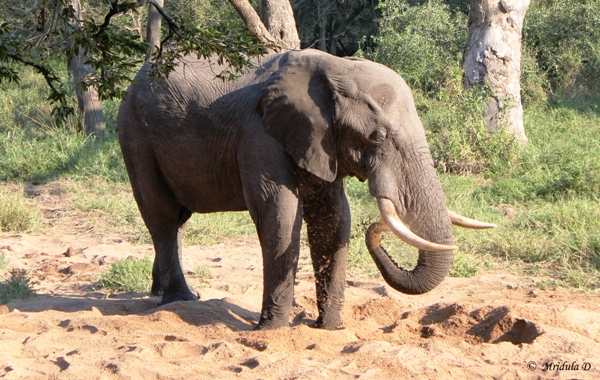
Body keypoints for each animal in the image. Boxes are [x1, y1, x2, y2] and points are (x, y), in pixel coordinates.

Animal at [116, 49, 492, 330]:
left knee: (178, 218)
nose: (377, 227)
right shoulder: (259, 133)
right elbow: (280, 214)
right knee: (162, 215)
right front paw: (272, 330)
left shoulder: (321, 140)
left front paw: (330, 328)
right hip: (135, 135)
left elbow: (334, 219)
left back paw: (170, 295)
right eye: (378, 138)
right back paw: (178, 300)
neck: (335, 68)